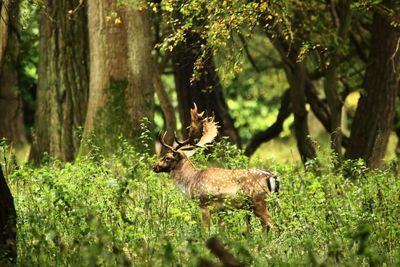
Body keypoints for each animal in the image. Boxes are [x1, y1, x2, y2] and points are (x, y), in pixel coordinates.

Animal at [152, 104, 280, 232]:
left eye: (167, 157)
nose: (154, 166)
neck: (191, 181)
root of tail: (273, 177)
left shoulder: (204, 203)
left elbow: (205, 230)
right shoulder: (221, 210)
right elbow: (221, 230)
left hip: (258, 200)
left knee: (274, 226)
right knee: (267, 227)